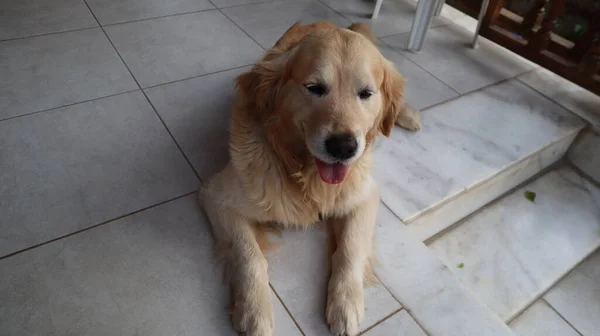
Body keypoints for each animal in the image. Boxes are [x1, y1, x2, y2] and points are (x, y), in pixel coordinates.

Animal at [200, 21, 418, 336]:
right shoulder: (217, 196)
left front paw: (346, 304)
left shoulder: (364, 196)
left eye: (366, 93)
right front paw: (254, 311)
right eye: (314, 89)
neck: (304, 172)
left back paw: (408, 114)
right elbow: (249, 254)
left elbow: (350, 247)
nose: (344, 147)